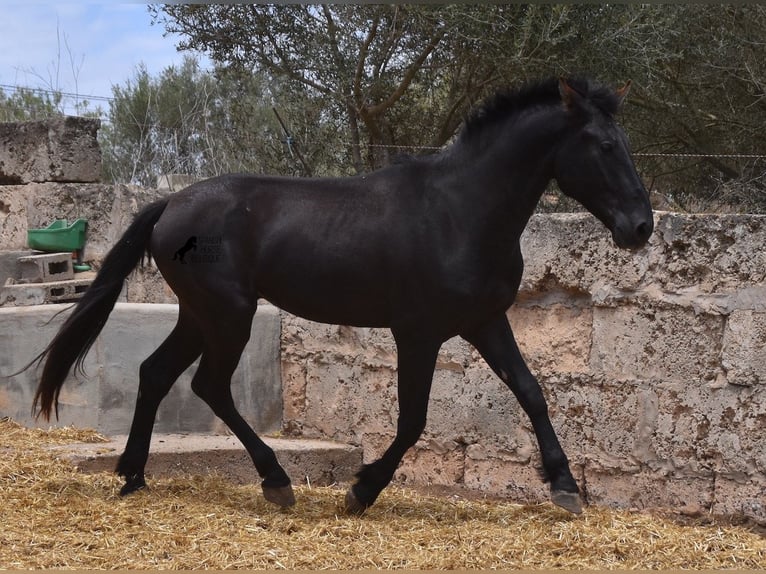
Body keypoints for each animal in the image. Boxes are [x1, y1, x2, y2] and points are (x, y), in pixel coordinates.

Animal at [30, 77, 656, 516]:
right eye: (604, 145)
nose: (641, 227)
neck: (459, 212)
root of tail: (169, 206)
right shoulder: (418, 333)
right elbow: (412, 420)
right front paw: (362, 492)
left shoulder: (485, 322)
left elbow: (532, 393)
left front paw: (566, 488)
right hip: (228, 314)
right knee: (208, 384)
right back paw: (276, 482)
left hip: (200, 315)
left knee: (156, 373)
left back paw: (133, 477)